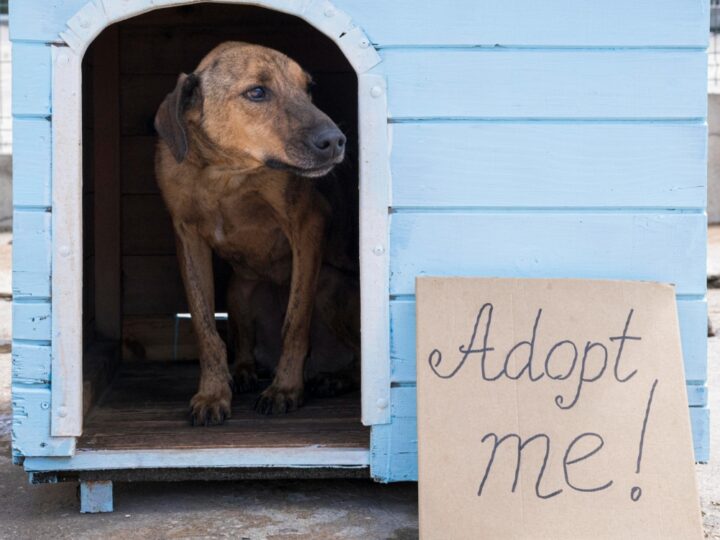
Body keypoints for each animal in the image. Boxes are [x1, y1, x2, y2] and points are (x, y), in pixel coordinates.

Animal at [156, 42, 360, 426]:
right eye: (257, 92)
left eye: (308, 88)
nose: (337, 141)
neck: (225, 173)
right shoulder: (187, 239)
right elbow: (206, 329)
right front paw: (213, 393)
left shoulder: (308, 225)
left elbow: (295, 323)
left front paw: (285, 389)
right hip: (239, 290)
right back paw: (245, 371)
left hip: (329, 287)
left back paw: (332, 379)